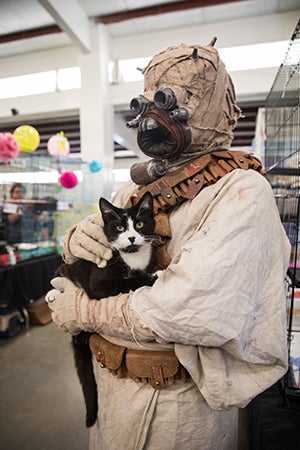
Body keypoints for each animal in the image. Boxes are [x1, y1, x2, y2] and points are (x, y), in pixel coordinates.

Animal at [55, 192, 157, 428]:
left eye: (139, 224)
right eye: (119, 227)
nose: (132, 238)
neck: (131, 256)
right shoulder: (98, 281)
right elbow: (123, 283)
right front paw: (153, 277)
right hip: (69, 268)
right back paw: (53, 294)